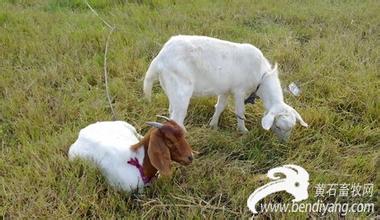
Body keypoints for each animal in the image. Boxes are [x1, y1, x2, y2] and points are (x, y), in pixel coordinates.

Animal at [144, 35, 308, 140]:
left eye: (292, 127)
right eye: (278, 126)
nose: (284, 143)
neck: (262, 76)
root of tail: (159, 58)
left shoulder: (225, 90)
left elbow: (220, 107)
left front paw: (213, 125)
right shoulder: (239, 91)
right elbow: (240, 112)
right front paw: (243, 131)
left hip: (171, 89)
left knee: (171, 113)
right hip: (181, 89)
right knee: (177, 118)